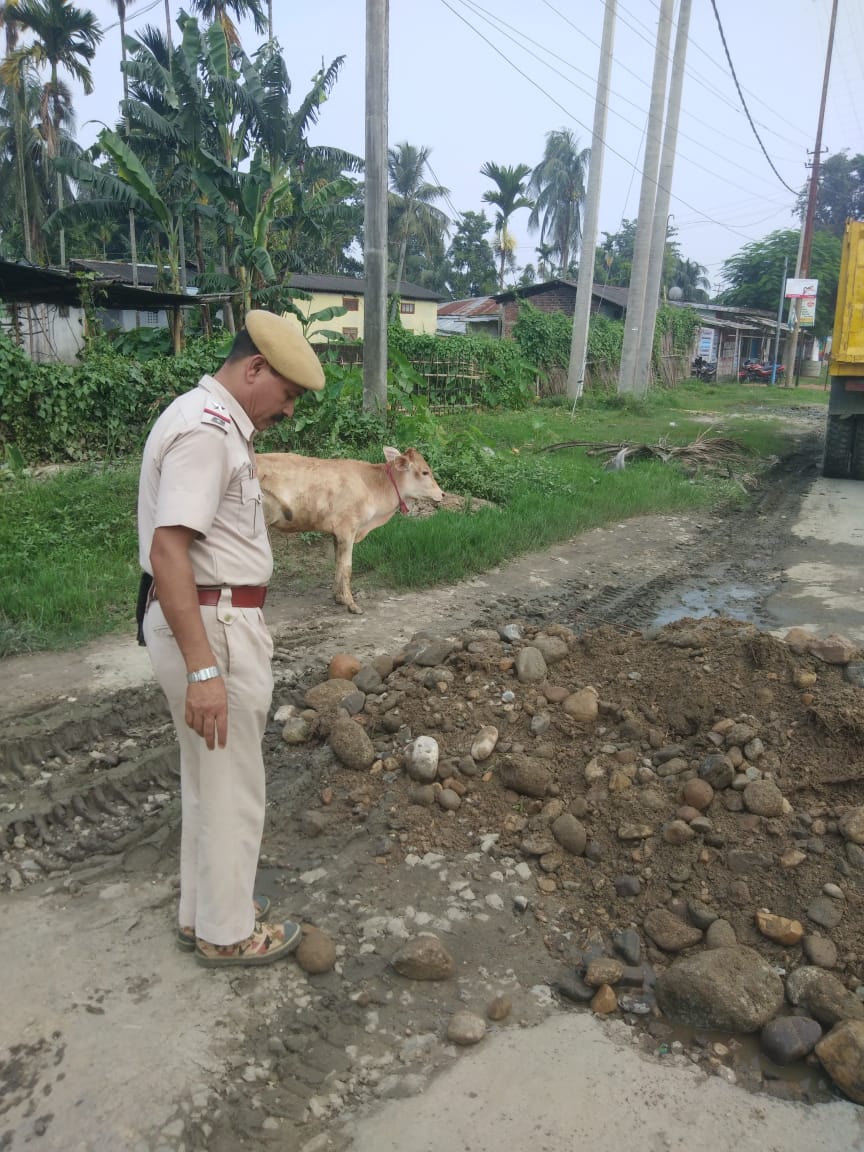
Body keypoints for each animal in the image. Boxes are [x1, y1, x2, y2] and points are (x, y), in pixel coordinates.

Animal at [255, 446, 444, 614]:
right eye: (425, 472)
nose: (442, 494)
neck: (373, 485)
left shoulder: (336, 533)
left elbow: (338, 563)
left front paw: (338, 597)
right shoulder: (347, 529)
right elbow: (347, 567)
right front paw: (351, 604)